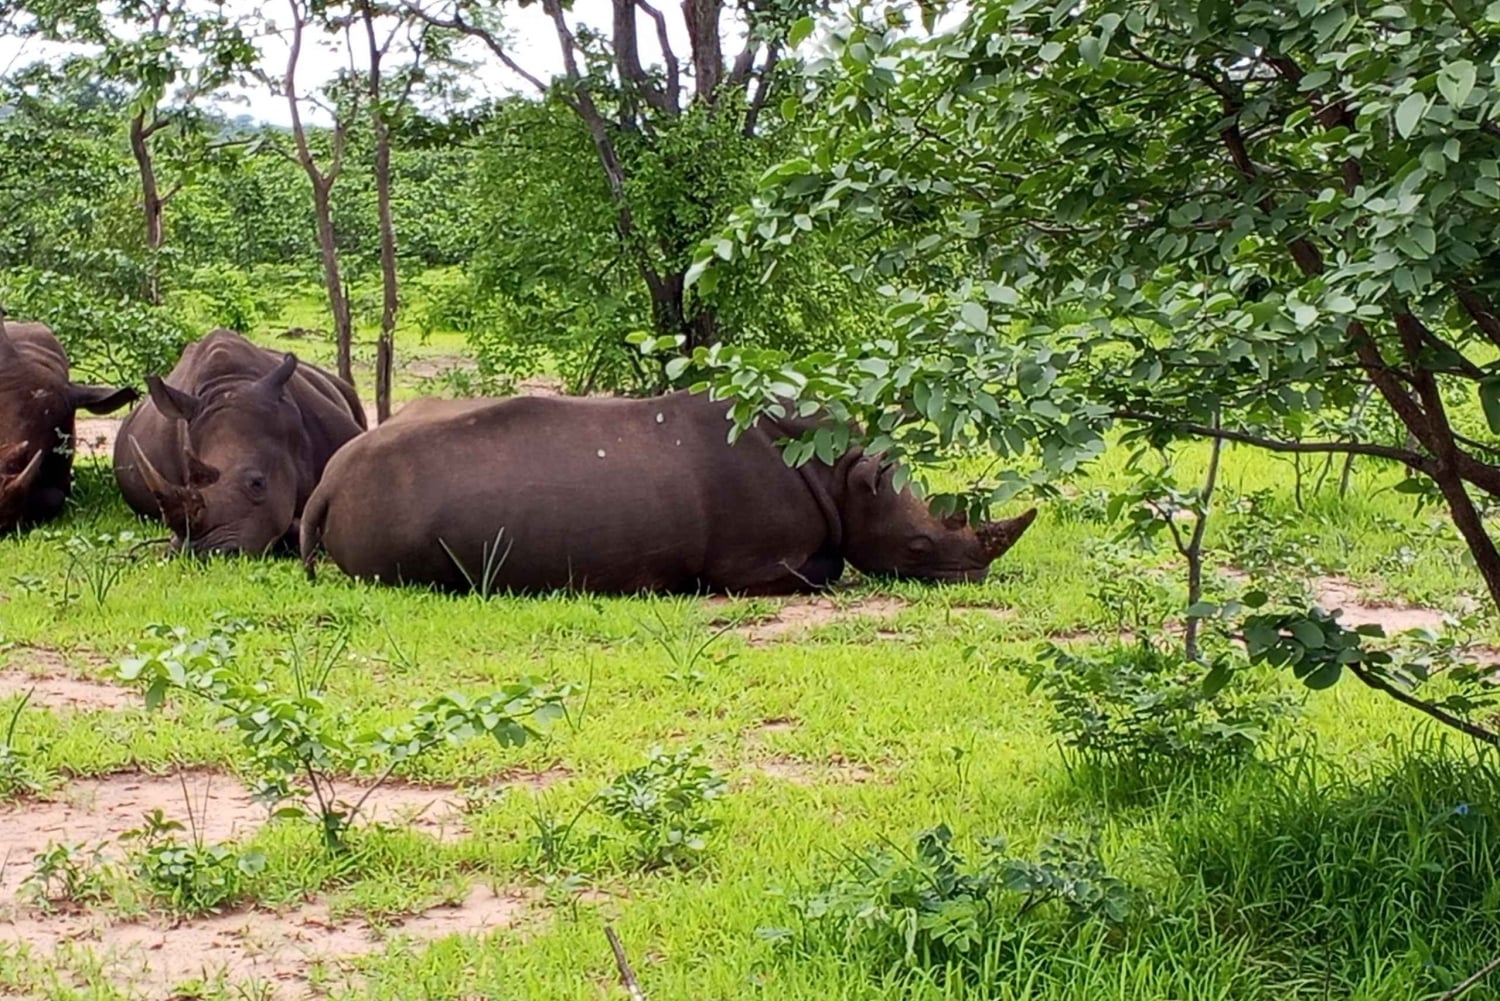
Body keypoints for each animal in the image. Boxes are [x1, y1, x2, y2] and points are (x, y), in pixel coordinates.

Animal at [300, 391, 1037, 594]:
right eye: (917, 547)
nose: (973, 575)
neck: (839, 469)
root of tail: (327, 482)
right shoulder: (758, 565)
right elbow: (823, 569)